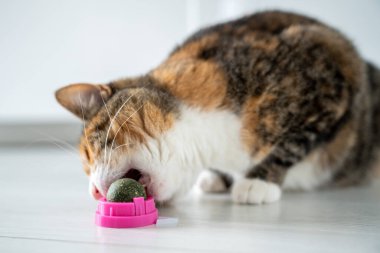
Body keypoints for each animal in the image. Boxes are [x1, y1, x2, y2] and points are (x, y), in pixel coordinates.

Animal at [54, 10, 380, 204]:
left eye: (88, 152)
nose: (94, 193)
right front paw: (218, 177)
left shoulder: (329, 72)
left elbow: (294, 141)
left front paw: (257, 182)